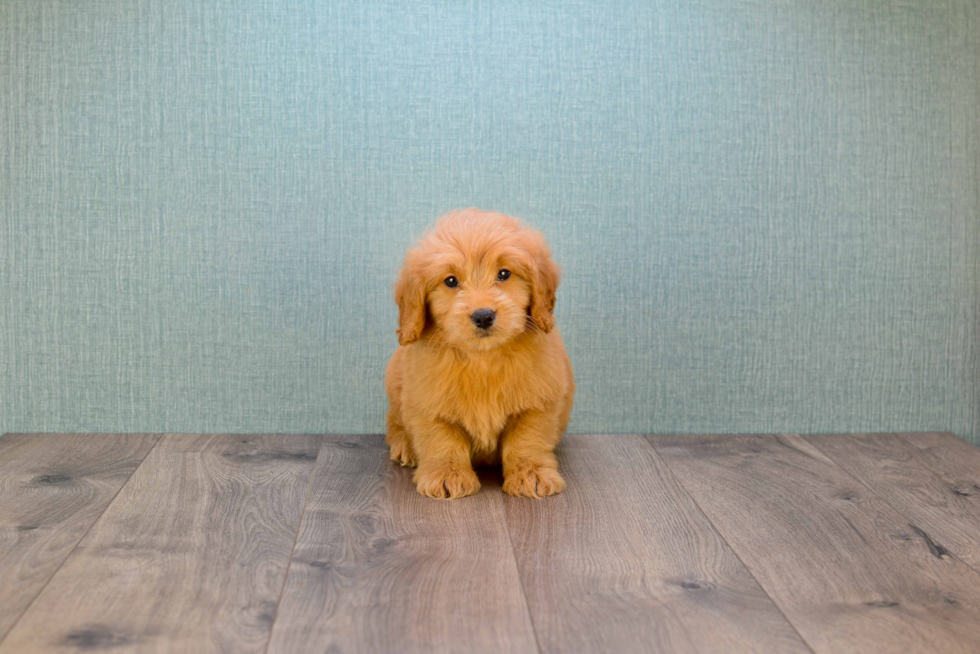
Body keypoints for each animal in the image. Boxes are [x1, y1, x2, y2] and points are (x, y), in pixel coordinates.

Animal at [384, 210, 576, 502]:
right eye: (451, 281)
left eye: (504, 274)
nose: (483, 316)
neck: (482, 358)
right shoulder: (428, 403)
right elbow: (442, 440)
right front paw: (447, 476)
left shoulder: (538, 402)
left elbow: (527, 440)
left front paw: (531, 474)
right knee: (394, 421)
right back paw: (404, 446)